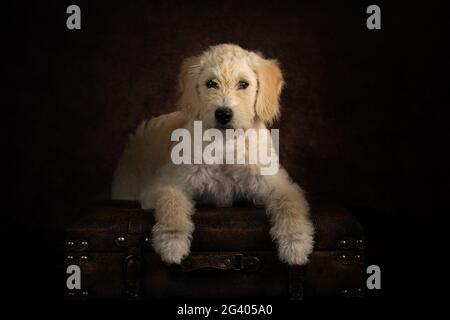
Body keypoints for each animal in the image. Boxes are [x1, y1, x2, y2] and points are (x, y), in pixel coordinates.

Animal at [112, 43, 312, 266]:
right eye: (211, 84)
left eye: (243, 84)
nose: (223, 114)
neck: (224, 145)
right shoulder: (163, 184)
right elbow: (170, 201)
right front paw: (172, 242)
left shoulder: (277, 184)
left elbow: (290, 203)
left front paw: (296, 242)